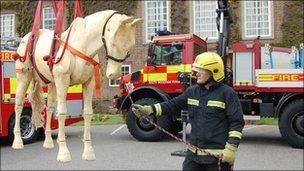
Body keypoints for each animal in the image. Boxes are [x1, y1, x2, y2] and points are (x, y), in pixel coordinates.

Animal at [11, 10, 142, 162]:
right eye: (114, 42)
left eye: (130, 46)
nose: (113, 74)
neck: (82, 45)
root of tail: (27, 37)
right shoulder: (62, 80)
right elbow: (62, 113)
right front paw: (63, 152)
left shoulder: (89, 83)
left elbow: (88, 113)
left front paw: (88, 151)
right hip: (24, 79)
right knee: (19, 105)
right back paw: (18, 141)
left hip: (52, 84)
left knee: (49, 109)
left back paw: (48, 142)